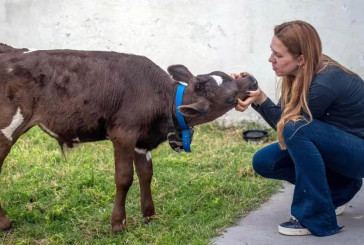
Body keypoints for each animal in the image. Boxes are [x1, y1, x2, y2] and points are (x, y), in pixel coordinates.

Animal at [0, 43, 258, 233]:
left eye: (225, 75)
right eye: (230, 98)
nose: (252, 79)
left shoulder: (141, 142)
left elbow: (146, 174)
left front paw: (150, 215)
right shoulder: (123, 133)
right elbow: (124, 178)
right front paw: (118, 224)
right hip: (6, 127)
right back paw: (5, 223)